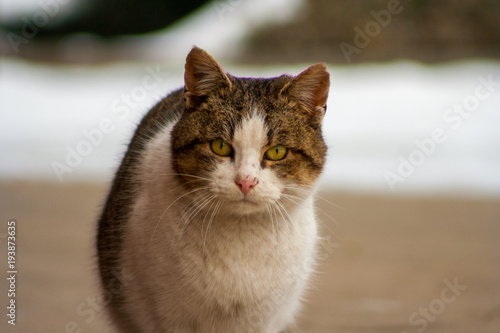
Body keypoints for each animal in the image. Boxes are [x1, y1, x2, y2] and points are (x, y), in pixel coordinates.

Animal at [97, 45, 330, 330]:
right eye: (220, 146)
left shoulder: (262, 320)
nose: (246, 181)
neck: (242, 236)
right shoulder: (163, 316)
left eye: (277, 151)